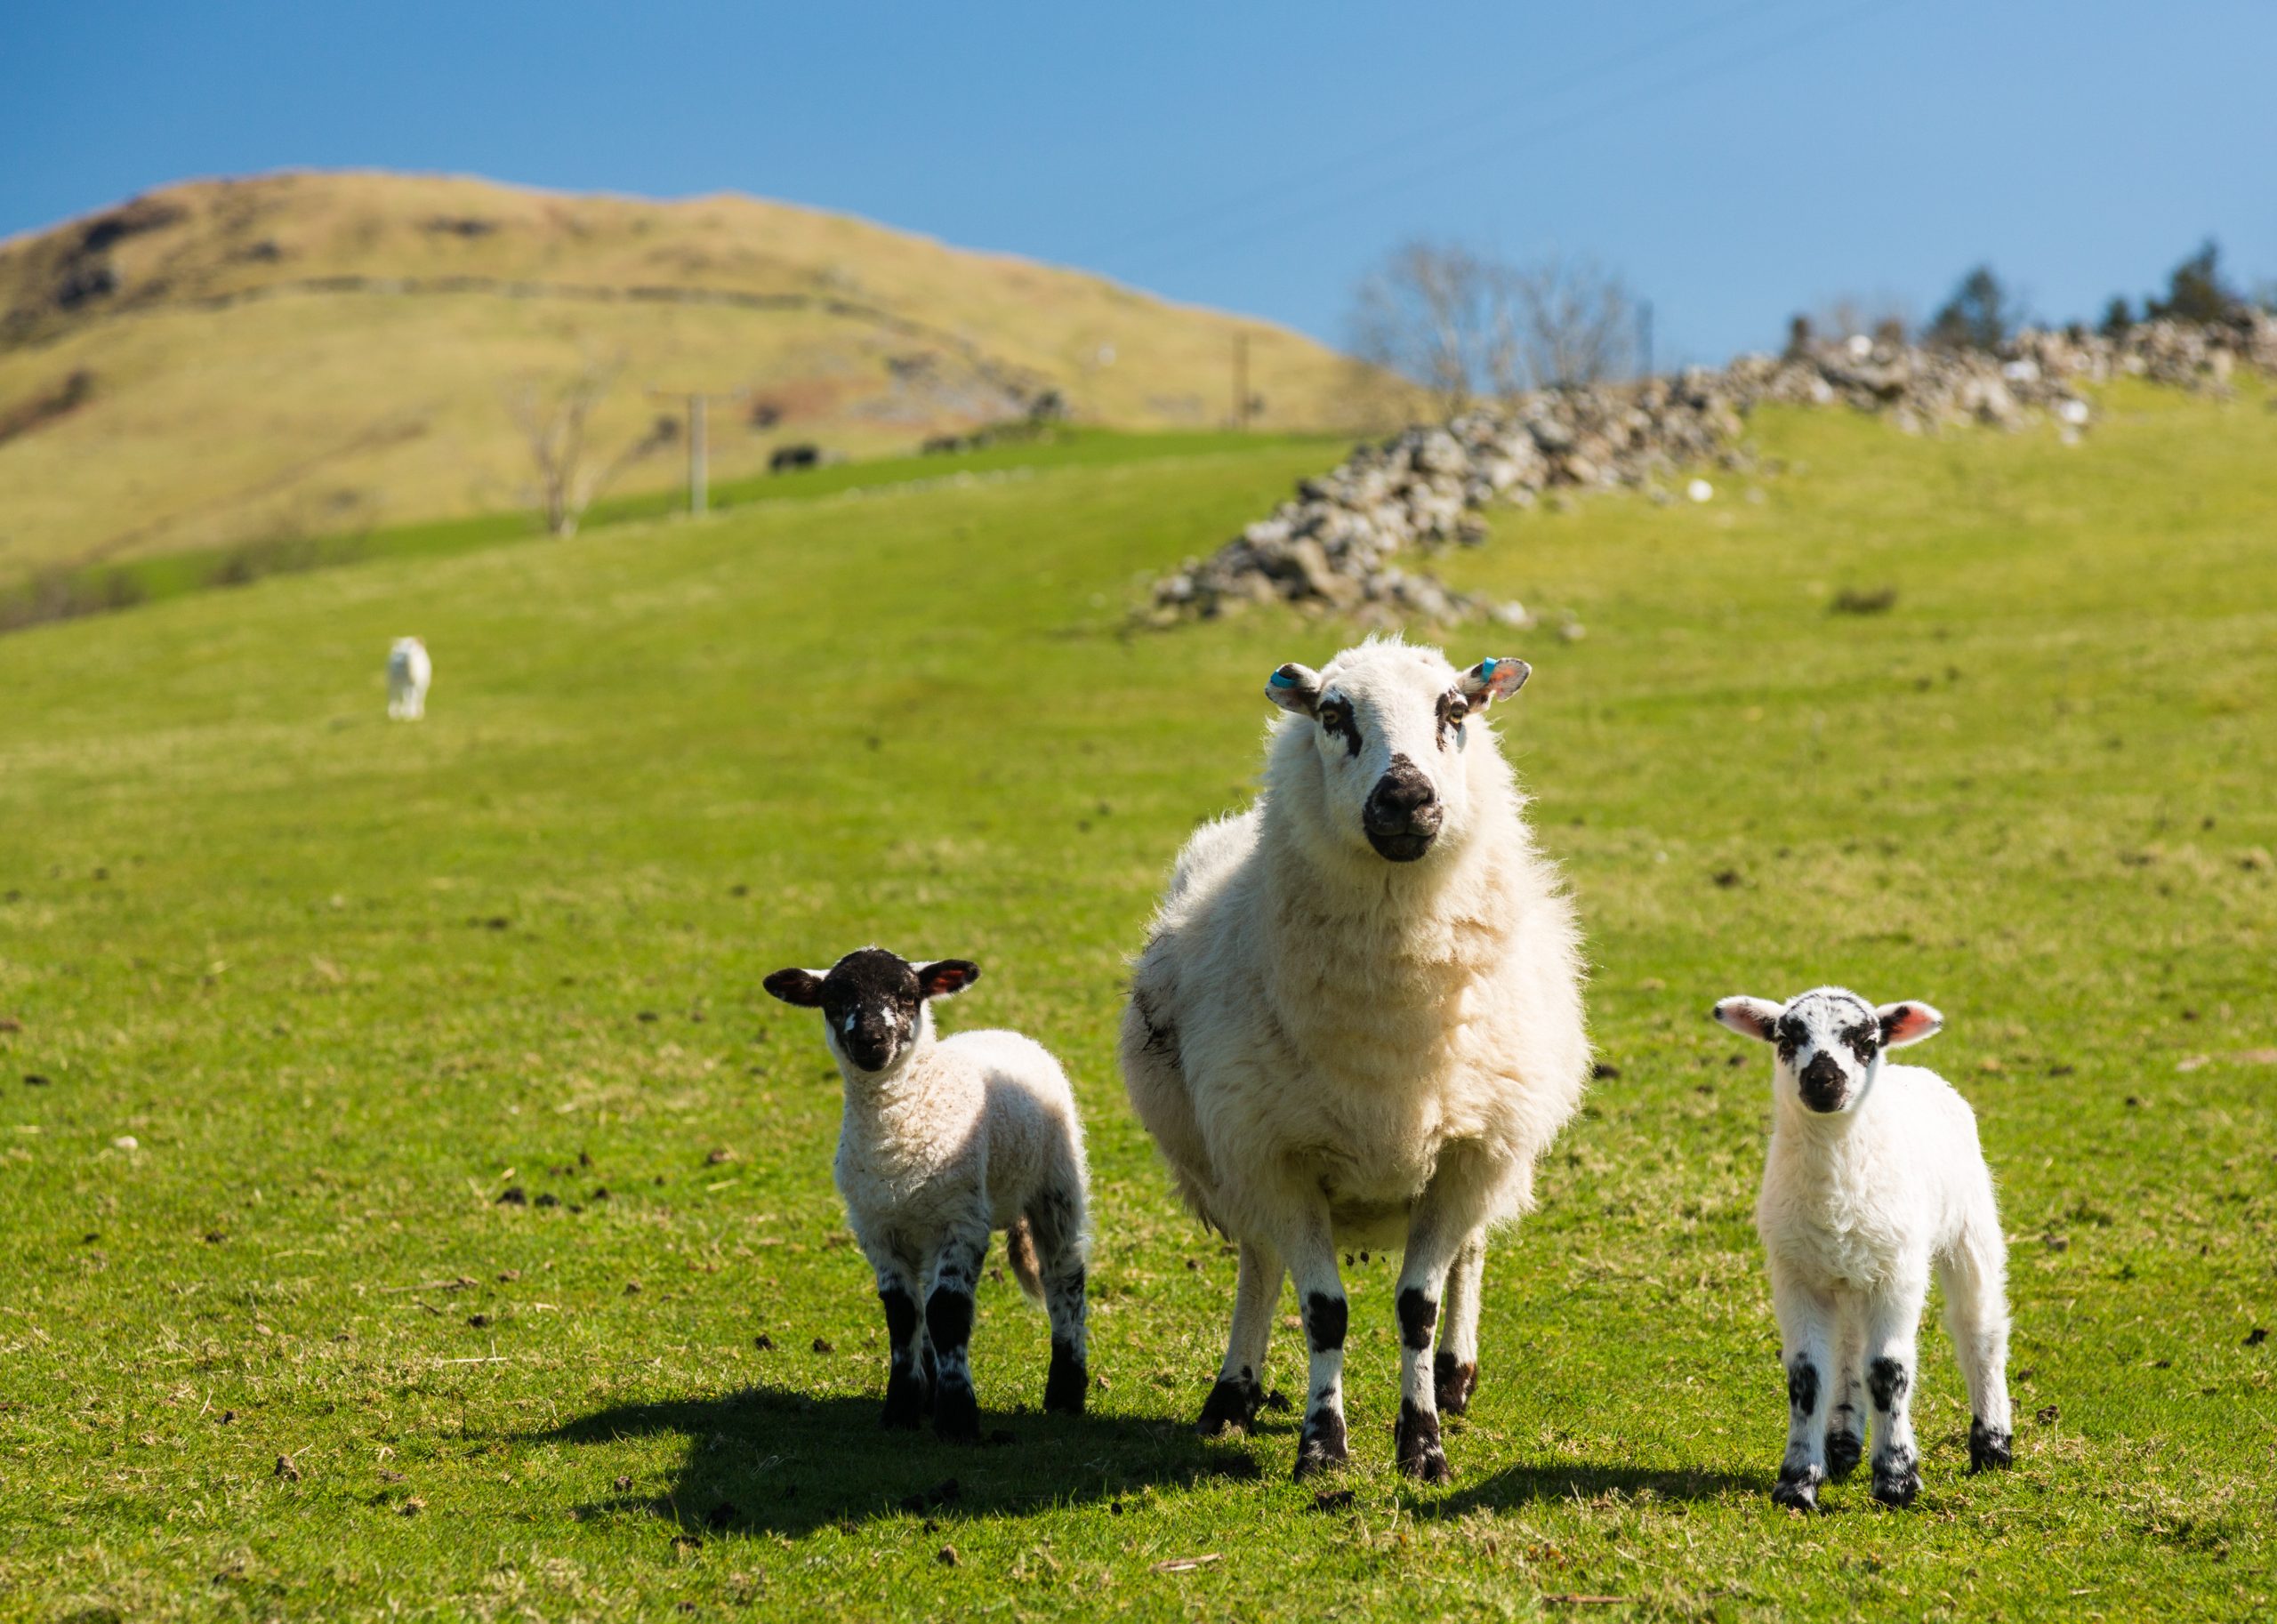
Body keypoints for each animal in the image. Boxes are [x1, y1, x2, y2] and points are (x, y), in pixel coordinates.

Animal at [760, 943, 1088, 1439]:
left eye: (907, 996)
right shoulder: (876, 1229)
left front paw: (958, 1419)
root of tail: (1001, 1032)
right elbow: (904, 1316)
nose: (871, 1040)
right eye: (833, 1000)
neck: (897, 1131)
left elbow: (948, 1313)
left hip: (1056, 1185)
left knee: (1064, 1278)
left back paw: (1066, 1393)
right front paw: (901, 1409)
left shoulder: (962, 1222)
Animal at [1115, 638, 1584, 1484]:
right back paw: (1234, 1393)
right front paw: (1322, 1448)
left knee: (1470, 1252)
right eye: (1333, 715)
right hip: (1233, 1157)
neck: (1391, 1025)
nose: (1405, 798)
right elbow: (1322, 1309)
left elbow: (1418, 1306)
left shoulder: (1468, 1152)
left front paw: (1423, 1442)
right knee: (1261, 1262)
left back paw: (1455, 1375)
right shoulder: (1278, 1156)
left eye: (1454, 710)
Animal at [1712, 984, 2022, 1512]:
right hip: (1849, 1269)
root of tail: (1915, 1071)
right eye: (1785, 1038)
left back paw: (1992, 1446)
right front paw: (1797, 1484)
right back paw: (1842, 1442)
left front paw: (1897, 1481)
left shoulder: (1899, 1274)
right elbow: (1806, 1376)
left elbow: (1888, 1371)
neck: (1834, 1187)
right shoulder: (1794, 1275)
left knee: (1979, 1329)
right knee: (1848, 1347)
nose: (1823, 1079)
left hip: (1970, 1227)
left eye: (1866, 1041)